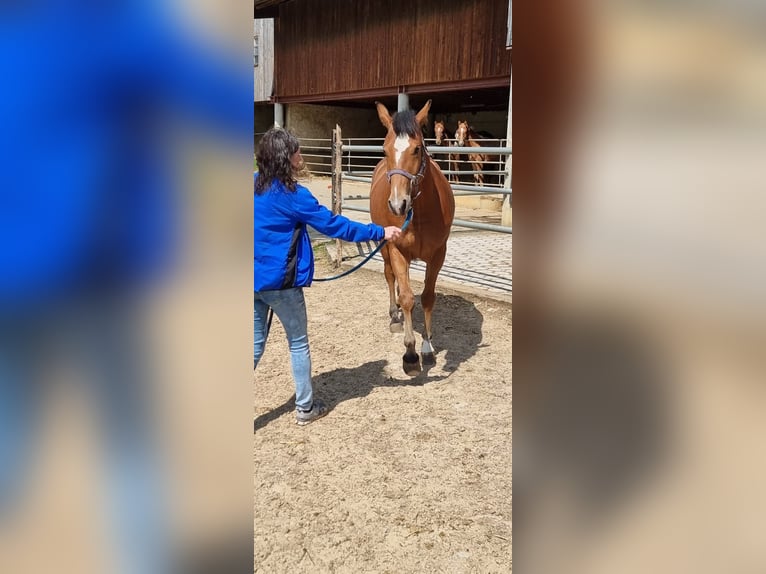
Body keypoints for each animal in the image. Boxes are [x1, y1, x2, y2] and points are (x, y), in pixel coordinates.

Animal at [370, 100, 456, 375]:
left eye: (417, 149)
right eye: (385, 149)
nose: (398, 205)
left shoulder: (438, 254)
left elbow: (427, 297)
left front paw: (427, 347)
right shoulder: (397, 250)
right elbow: (407, 298)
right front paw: (410, 354)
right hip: (384, 247)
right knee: (390, 277)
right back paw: (394, 316)